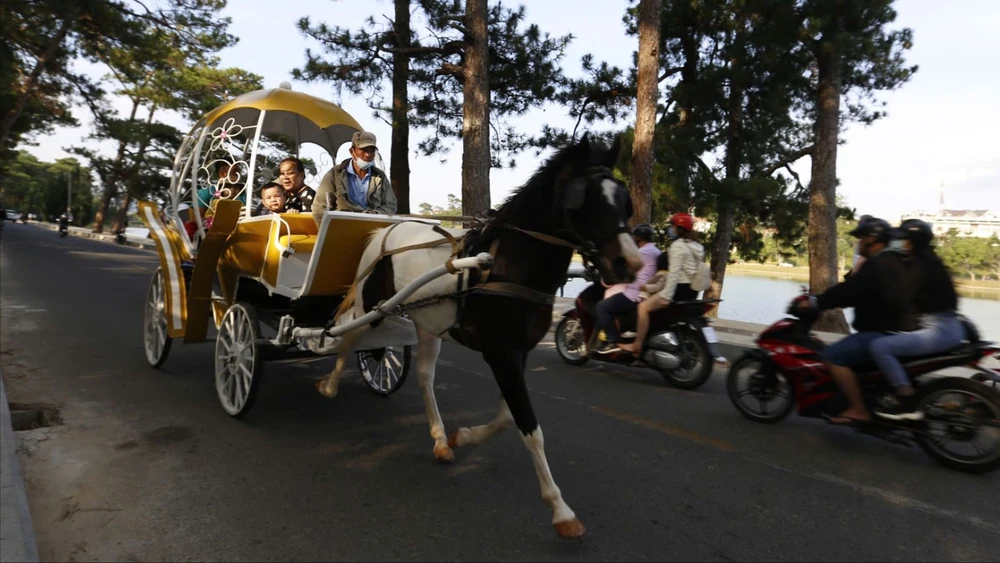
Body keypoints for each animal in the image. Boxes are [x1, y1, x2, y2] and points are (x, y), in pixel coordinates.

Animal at [316, 134, 643, 538]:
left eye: (625, 201)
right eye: (585, 201)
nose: (630, 264)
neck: (507, 264)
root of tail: (384, 230)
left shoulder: (517, 353)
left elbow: (507, 418)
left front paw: (463, 436)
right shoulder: (501, 354)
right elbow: (530, 429)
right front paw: (560, 509)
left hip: (428, 322)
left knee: (423, 375)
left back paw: (441, 439)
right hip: (370, 308)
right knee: (347, 337)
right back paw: (329, 385)